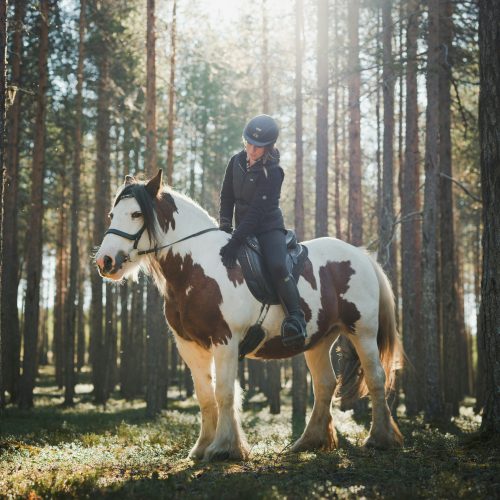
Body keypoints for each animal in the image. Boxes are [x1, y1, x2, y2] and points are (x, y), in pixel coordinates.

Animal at [95, 169, 404, 460]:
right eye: (112, 214)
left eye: (136, 214)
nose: (104, 261)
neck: (196, 268)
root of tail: (362, 256)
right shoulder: (190, 346)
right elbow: (205, 396)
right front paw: (203, 447)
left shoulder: (224, 340)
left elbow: (224, 393)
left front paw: (223, 448)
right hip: (318, 340)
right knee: (325, 385)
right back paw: (309, 441)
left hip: (362, 332)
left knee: (375, 377)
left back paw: (379, 438)